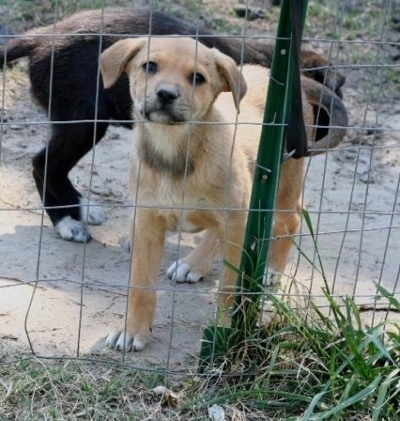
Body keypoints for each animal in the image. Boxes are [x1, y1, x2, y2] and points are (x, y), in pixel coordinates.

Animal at [0, 6, 344, 241]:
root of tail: (41, 37)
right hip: (83, 120)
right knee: (43, 163)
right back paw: (68, 221)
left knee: (47, 164)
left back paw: (76, 211)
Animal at [100, 37, 312, 352]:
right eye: (149, 66)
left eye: (197, 78)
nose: (166, 94)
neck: (176, 153)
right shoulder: (147, 222)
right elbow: (140, 285)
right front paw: (132, 330)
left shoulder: (237, 223)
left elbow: (229, 288)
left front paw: (225, 332)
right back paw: (193, 264)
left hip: (285, 178)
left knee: (290, 219)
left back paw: (272, 268)